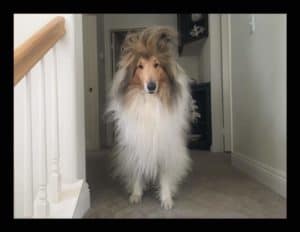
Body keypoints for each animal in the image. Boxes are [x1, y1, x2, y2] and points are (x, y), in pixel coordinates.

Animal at [106, 25, 193, 210]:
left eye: (156, 64)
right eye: (139, 66)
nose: (151, 86)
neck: (149, 101)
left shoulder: (165, 145)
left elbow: (165, 175)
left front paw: (166, 199)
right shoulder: (136, 145)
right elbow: (137, 171)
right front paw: (136, 194)